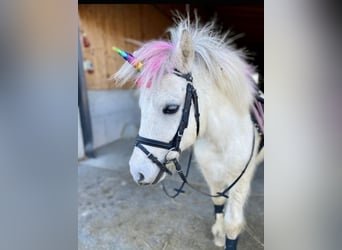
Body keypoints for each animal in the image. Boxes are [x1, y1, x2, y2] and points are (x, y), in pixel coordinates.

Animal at [113, 13, 264, 250]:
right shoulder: (212, 175)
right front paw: (218, 234)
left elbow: (233, 224)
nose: (138, 173)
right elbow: (218, 202)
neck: (220, 140)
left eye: (171, 108)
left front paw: (225, 234)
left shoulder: (240, 182)